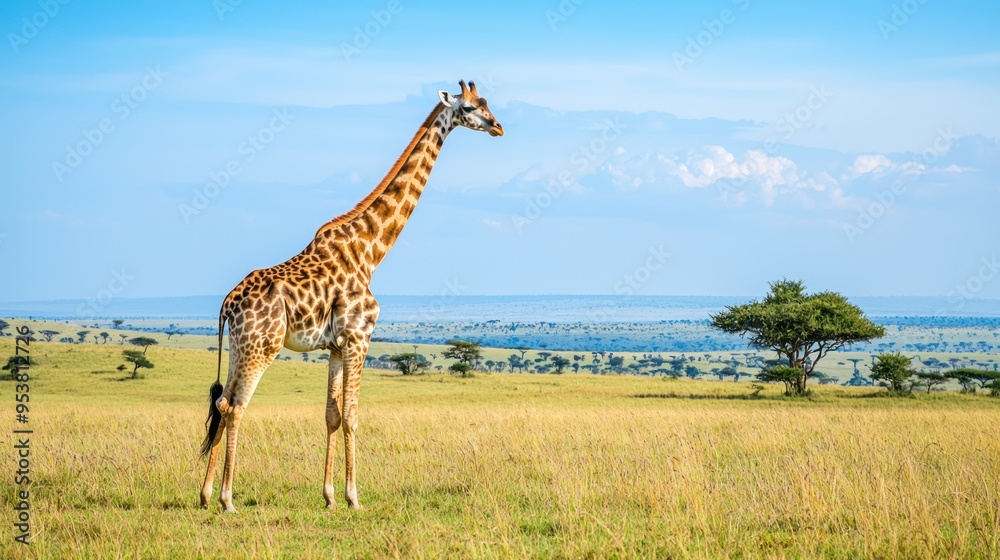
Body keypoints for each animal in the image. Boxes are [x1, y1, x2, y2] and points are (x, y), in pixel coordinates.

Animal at [198, 80, 503, 513]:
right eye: (472, 107)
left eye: (487, 103)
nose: (498, 127)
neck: (370, 250)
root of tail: (227, 304)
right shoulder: (360, 337)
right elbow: (353, 415)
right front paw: (354, 497)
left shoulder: (336, 347)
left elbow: (331, 414)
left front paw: (328, 496)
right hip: (262, 347)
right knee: (237, 406)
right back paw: (226, 499)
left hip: (240, 348)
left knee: (222, 403)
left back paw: (206, 495)